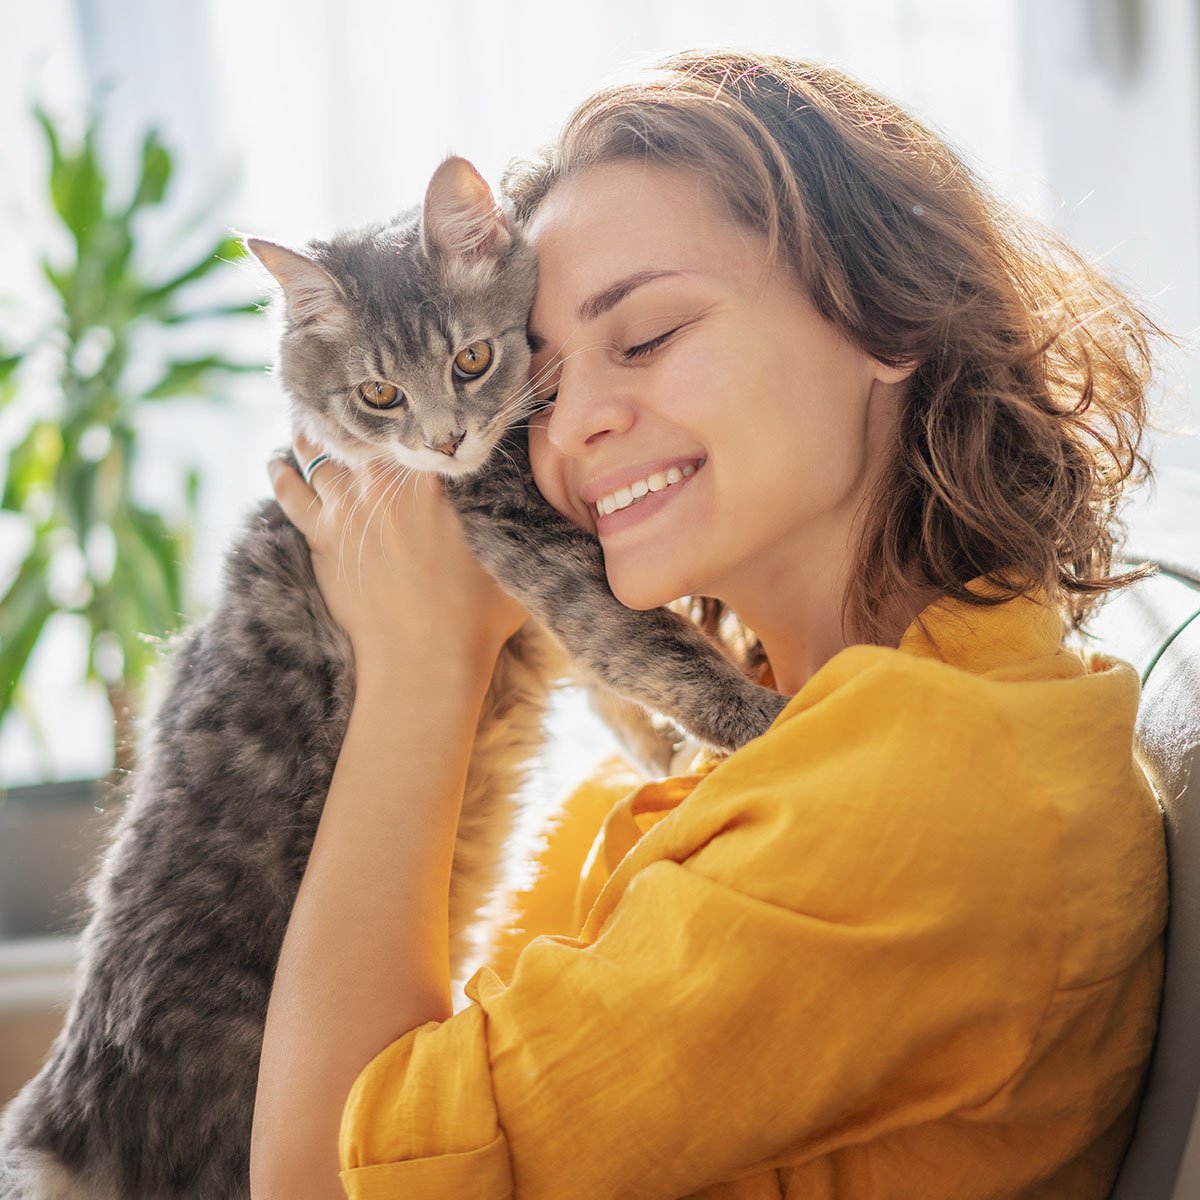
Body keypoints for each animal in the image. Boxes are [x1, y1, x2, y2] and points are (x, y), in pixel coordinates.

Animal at [0, 159, 787, 1200]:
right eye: (379, 394)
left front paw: (663, 748)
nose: (447, 442)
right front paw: (760, 715)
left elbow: (615, 672)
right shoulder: (536, 545)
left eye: (471, 361)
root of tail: (66, 1131)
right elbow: (652, 644)